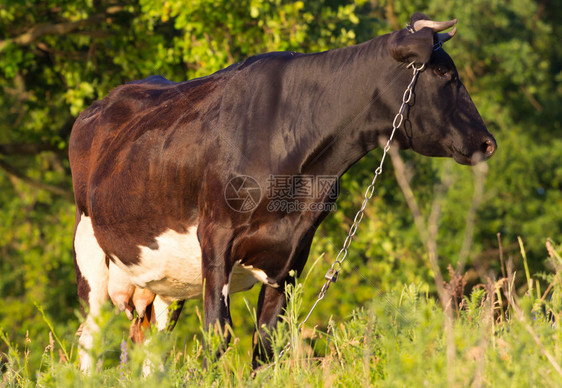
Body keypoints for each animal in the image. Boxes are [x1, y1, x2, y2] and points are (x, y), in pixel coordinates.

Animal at [69, 12, 494, 372]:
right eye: (443, 72)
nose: (488, 142)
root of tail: (100, 104)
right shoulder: (216, 237)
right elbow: (217, 335)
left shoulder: (292, 256)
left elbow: (266, 346)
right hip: (89, 249)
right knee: (91, 338)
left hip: (162, 283)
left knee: (152, 349)